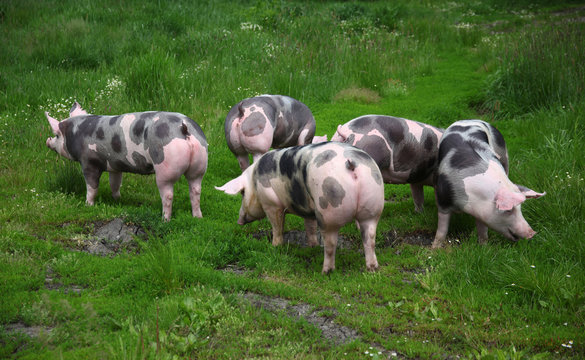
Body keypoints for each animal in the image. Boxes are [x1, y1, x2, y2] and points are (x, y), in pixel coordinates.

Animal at [45, 102, 208, 222]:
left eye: (56, 135)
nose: (47, 141)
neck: (78, 133)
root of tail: (183, 128)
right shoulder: (115, 165)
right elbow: (115, 183)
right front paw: (117, 200)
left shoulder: (88, 162)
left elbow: (92, 186)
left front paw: (88, 205)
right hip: (200, 166)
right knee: (196, 190)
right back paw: (198, 217)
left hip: (165, 168)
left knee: (168, 195)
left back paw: (164, 220)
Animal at [214, 141, 384, 272]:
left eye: (242, 193)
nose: (239, 221)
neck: (254, 179)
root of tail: (351, 163)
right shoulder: (309, 210)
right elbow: (309, 226)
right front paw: (312, 246)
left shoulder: (271, 203)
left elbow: (277, 226)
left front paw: (275, 246)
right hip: (372, 207)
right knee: (370, 238)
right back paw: (372, 268)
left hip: (328, 210)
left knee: (330, 244)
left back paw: (326, 271)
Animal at [432, 119, 544, 249]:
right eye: (509, 210)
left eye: (520, 208)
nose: (532, 233)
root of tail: (471, 120)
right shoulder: (442, 199)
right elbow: (442, 229)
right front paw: (435, 248)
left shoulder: (482, 211)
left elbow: (483, 231)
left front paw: (484, 247)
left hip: (504, 155)